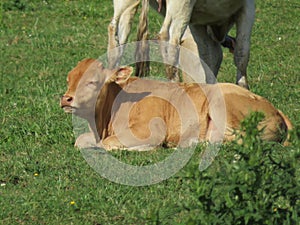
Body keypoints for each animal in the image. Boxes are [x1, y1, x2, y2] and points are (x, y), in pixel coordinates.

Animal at [59, 58, 292, 149]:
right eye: (69, 79)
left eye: (92, 81)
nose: (66, 98)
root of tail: (274, 108)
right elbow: (81, 141)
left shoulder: (149, 129)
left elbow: (106, 144)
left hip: (221, 103)